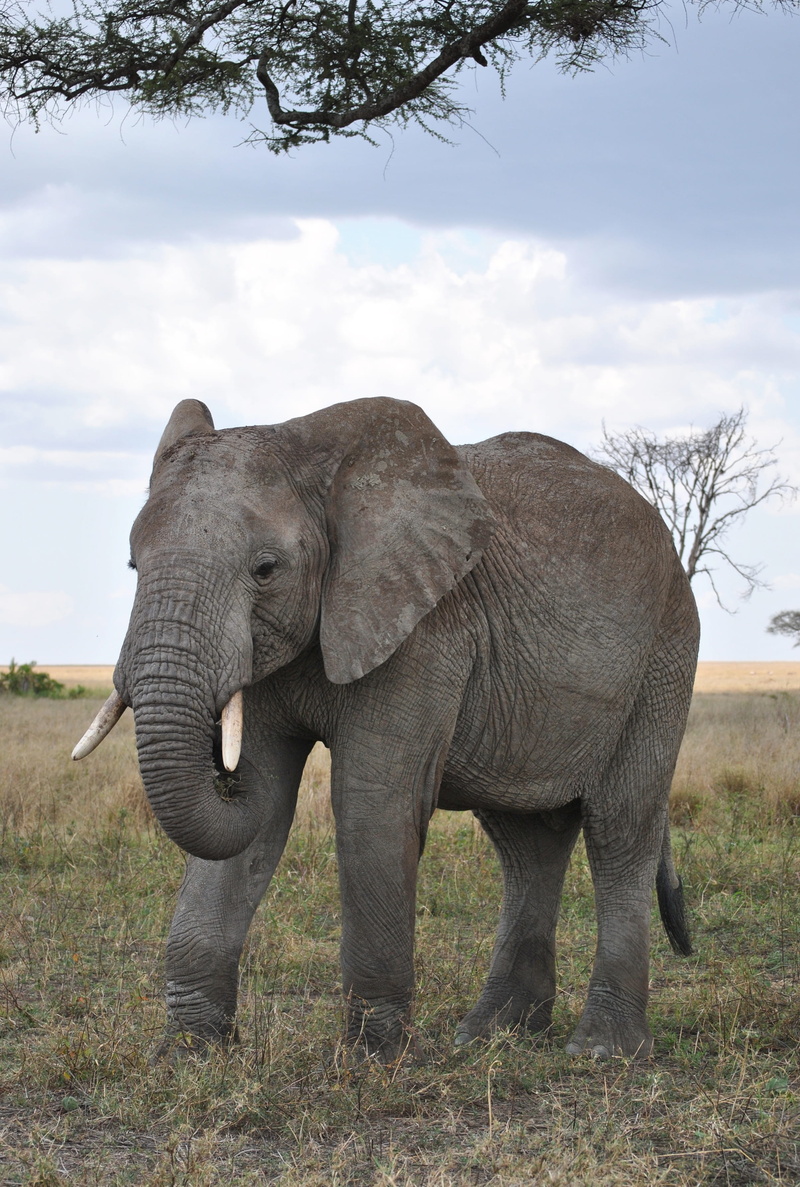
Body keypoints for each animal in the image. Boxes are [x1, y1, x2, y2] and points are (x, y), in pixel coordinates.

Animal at [74, 395, 698, 1060]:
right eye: (133, 564)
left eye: (266, 569)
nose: (220, 765)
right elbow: (263, 808)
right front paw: (191, 1052)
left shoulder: (424, 628)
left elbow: (369, 804)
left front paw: (372, 1059)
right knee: (527, 842)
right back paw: (488, 1037)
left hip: (664, 653)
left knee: (619, 827)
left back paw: (604, 1051)